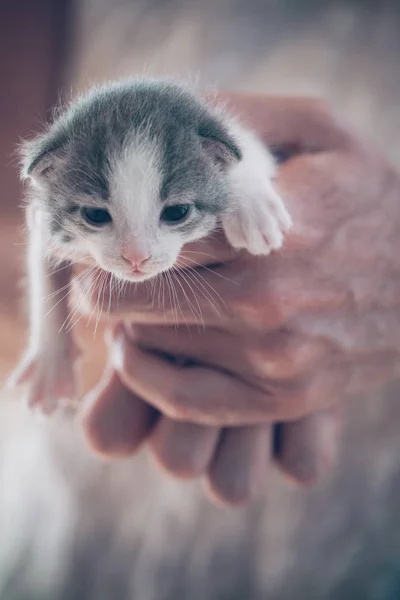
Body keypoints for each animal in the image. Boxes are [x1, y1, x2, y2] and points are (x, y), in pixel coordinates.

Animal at [8, 79, 290, 412]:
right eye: (95, 215)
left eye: (177, 212)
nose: (136, 257)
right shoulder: (44, 221)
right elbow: (43, 270)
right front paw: (50, 365)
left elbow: (249, 155)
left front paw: (253, 206)